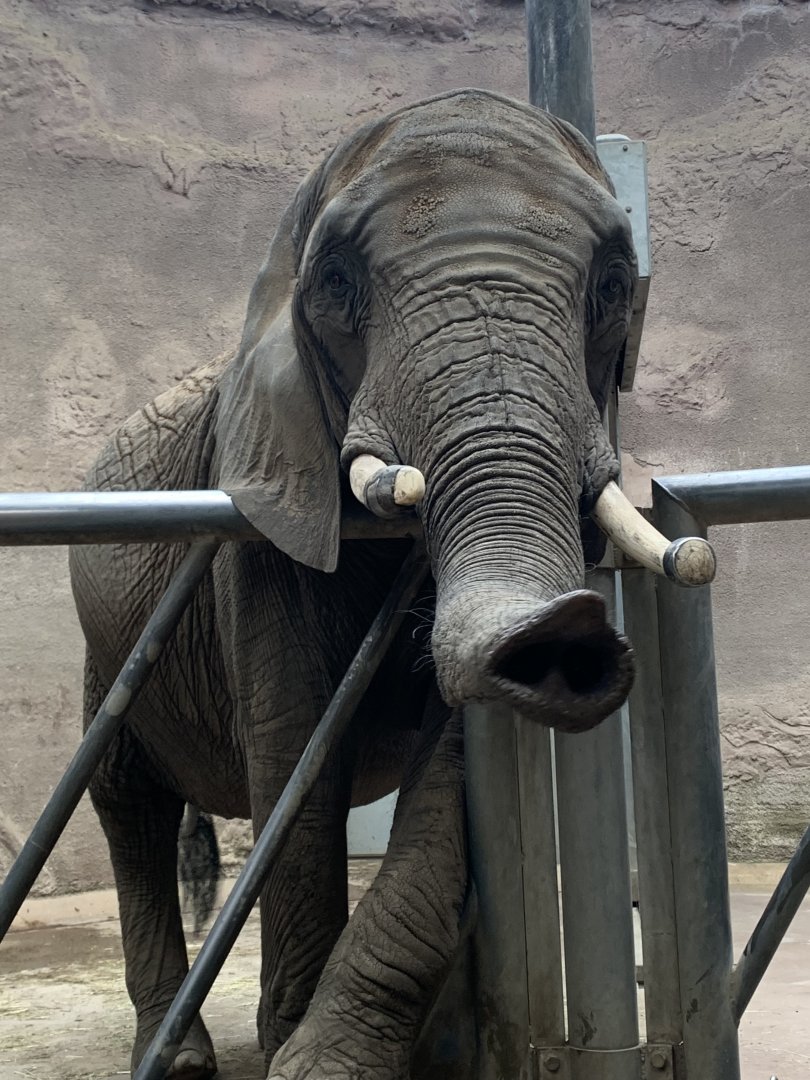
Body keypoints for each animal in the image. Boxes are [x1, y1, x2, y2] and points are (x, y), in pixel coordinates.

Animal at [68, 88, 644, 1080]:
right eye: (336, 283)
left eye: (612, 286)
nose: (570, 633)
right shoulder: (263, 522)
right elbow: (299, 746)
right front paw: (293, 1049)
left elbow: (455, 760)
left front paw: (336, 1055)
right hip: (108, 649)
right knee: (128, 803)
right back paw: (176, 1059)